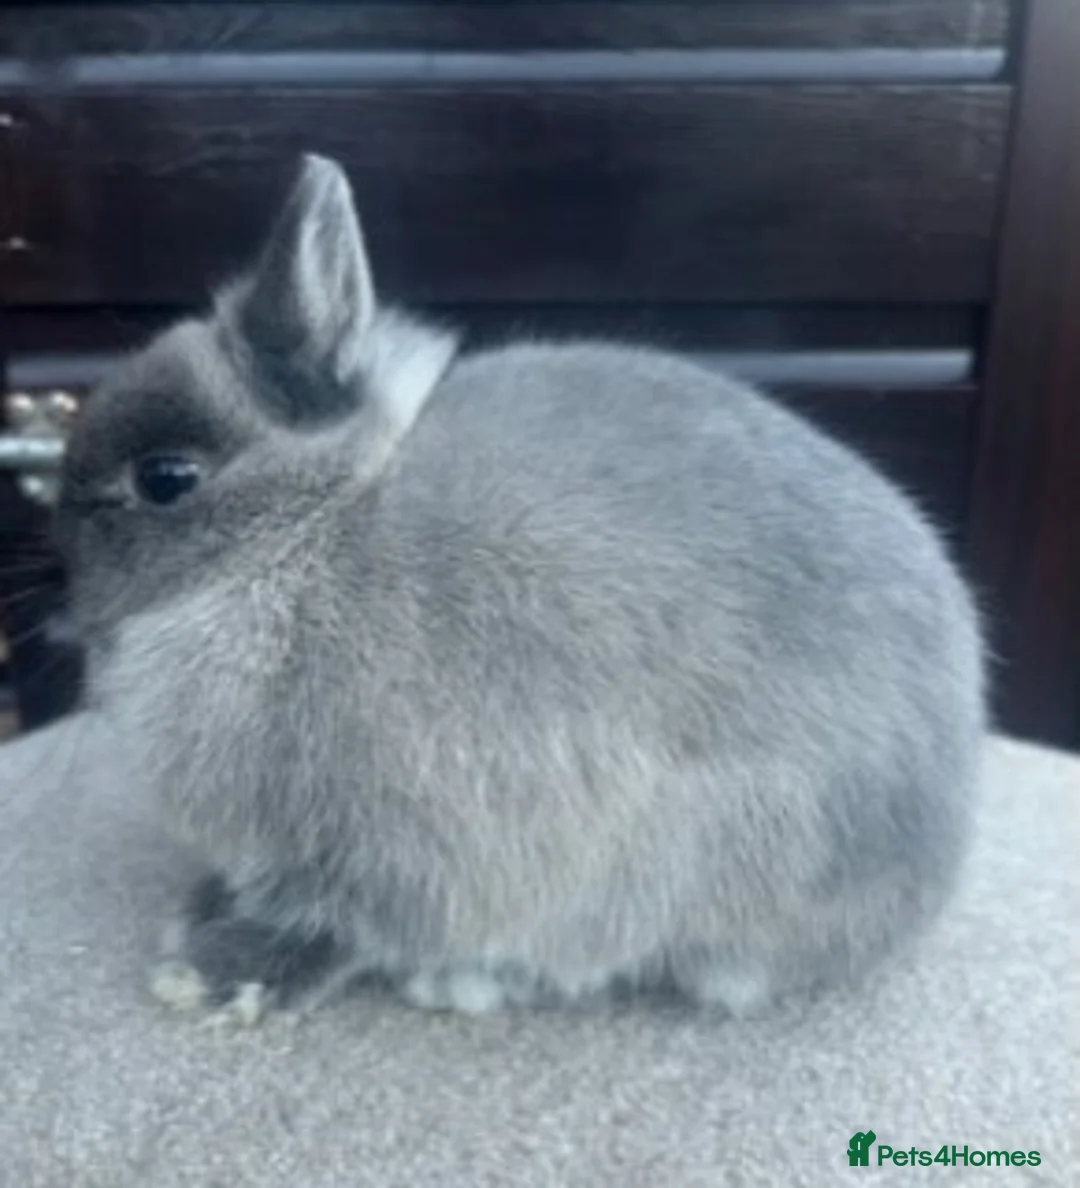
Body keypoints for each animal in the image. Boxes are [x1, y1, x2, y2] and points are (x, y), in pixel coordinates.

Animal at [53, 154, 986, 1023]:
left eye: (166, 479)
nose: (65, 598)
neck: (307, 529)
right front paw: (198, 916)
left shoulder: (382, 851)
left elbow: (339, 926)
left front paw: (213, 976)